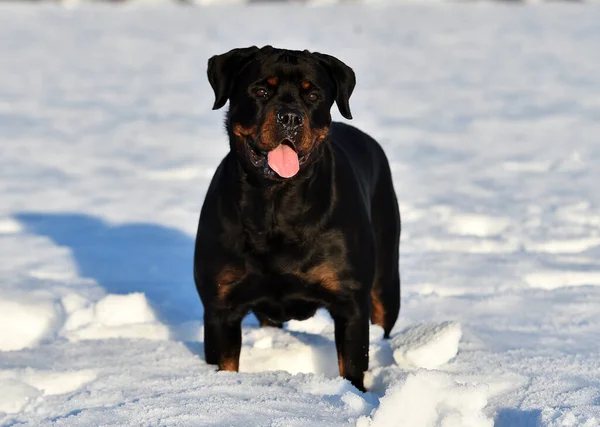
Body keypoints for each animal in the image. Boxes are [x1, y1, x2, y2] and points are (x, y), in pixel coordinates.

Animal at [195, 46, 400, 392]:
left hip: (386, 281)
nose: (290, 117)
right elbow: (225, 363)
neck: (276, 204)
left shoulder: (351, 304)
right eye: (261, 91)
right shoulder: (219, 308)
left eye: (313, 95)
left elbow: (352, 367)